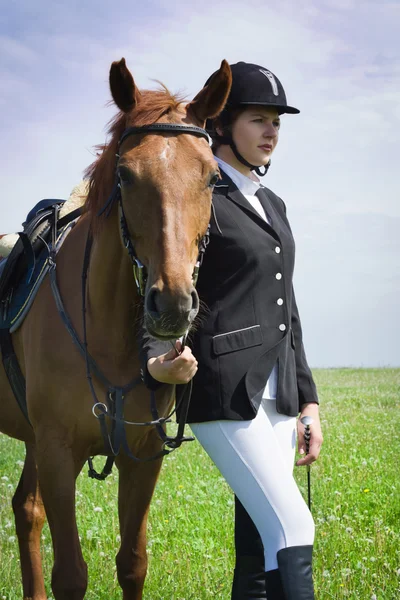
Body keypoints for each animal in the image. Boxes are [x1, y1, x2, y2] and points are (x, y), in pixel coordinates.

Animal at [0, 57, 231, 600]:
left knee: (26, 511)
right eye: (125, 175)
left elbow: (132, 564)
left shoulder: (142, 457)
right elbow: (70, 575)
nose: (172, 304)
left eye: (213, 178)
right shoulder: (58, 452)